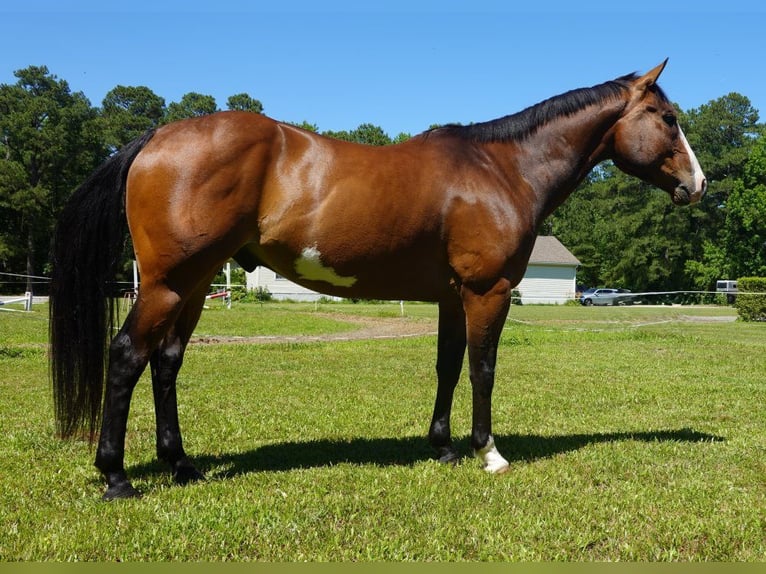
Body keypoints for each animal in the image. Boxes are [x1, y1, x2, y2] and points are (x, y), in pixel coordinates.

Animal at [49, 60, 706, 499]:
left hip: (194, 283)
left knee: (167, 361)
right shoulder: (487, 292)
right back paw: (116, 477)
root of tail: (157, 137)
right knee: (128, 355)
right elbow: (483, 368)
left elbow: (447, 366)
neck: (501, 168)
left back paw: (182, 466)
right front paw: (488, 452)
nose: (698, 185)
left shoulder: (451, 297)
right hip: (167, 283)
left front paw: (442, 447)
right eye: (667, 118)